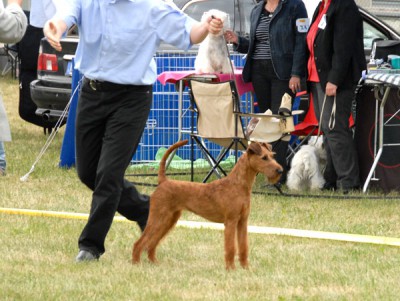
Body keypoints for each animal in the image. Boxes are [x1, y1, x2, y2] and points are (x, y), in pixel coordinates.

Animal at [133, 139, 282, 268]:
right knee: (140, 242)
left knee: (152, 243)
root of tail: (163, 181)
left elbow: (243, 247)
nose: (280, 170)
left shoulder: (243, 222)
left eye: (272, 155)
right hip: (158, 218)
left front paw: (245, 268)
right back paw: (136, 263)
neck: (239, 185)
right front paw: (231, 269)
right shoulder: (231, 221)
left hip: (169, 220)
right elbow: (231, 248)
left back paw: (154, 262)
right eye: (264, 158)